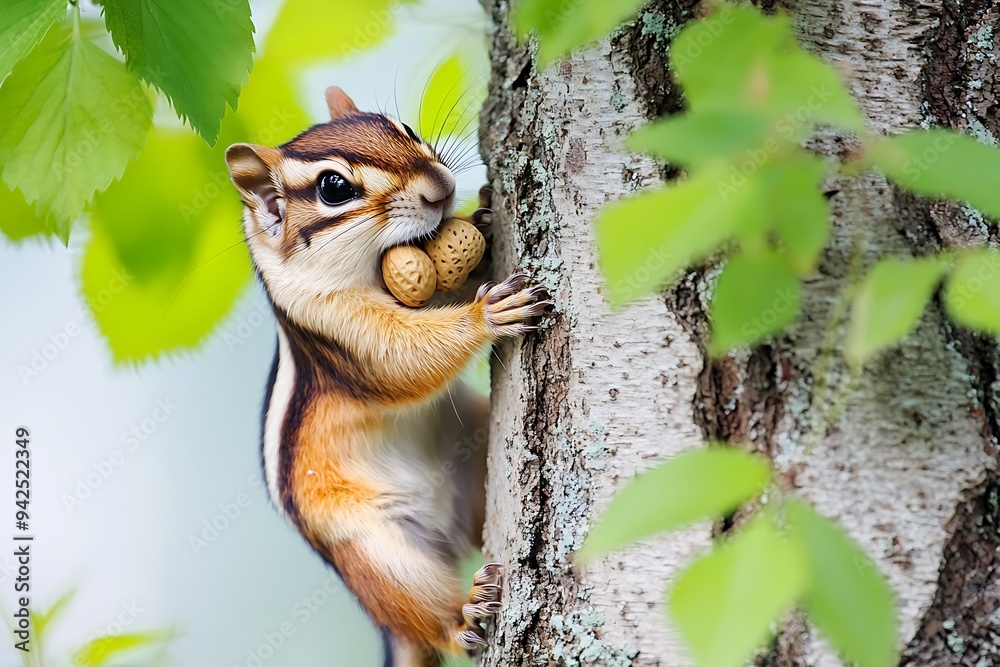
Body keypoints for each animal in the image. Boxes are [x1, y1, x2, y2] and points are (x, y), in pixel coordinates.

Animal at [224, 86, 549, 667]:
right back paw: (466, 613)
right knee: (433, 621)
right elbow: (404, 356)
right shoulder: (341, 328)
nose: (441, 186)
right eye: (333, 187)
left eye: (404, 128)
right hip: (379, 552)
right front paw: (487, 316)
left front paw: (485, 220)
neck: (372, 269)